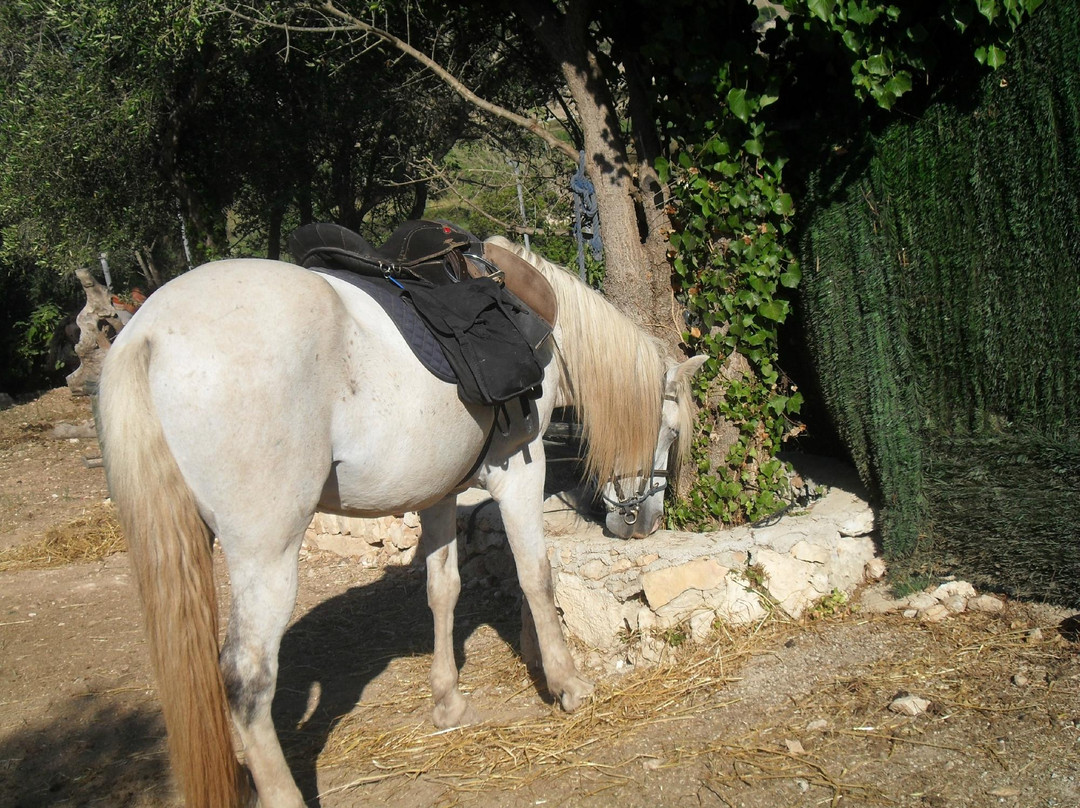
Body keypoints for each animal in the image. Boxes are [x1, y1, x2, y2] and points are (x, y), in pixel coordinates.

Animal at [96, 235, 706, 807]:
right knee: (247, 680)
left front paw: (449, 700)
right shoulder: (519, 472)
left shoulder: (438, 491)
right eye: (671, 430)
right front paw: (567, 683)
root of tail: (146, 332)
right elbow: (536, 575)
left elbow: (444, 589)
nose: (644, 524)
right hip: (266, 554)